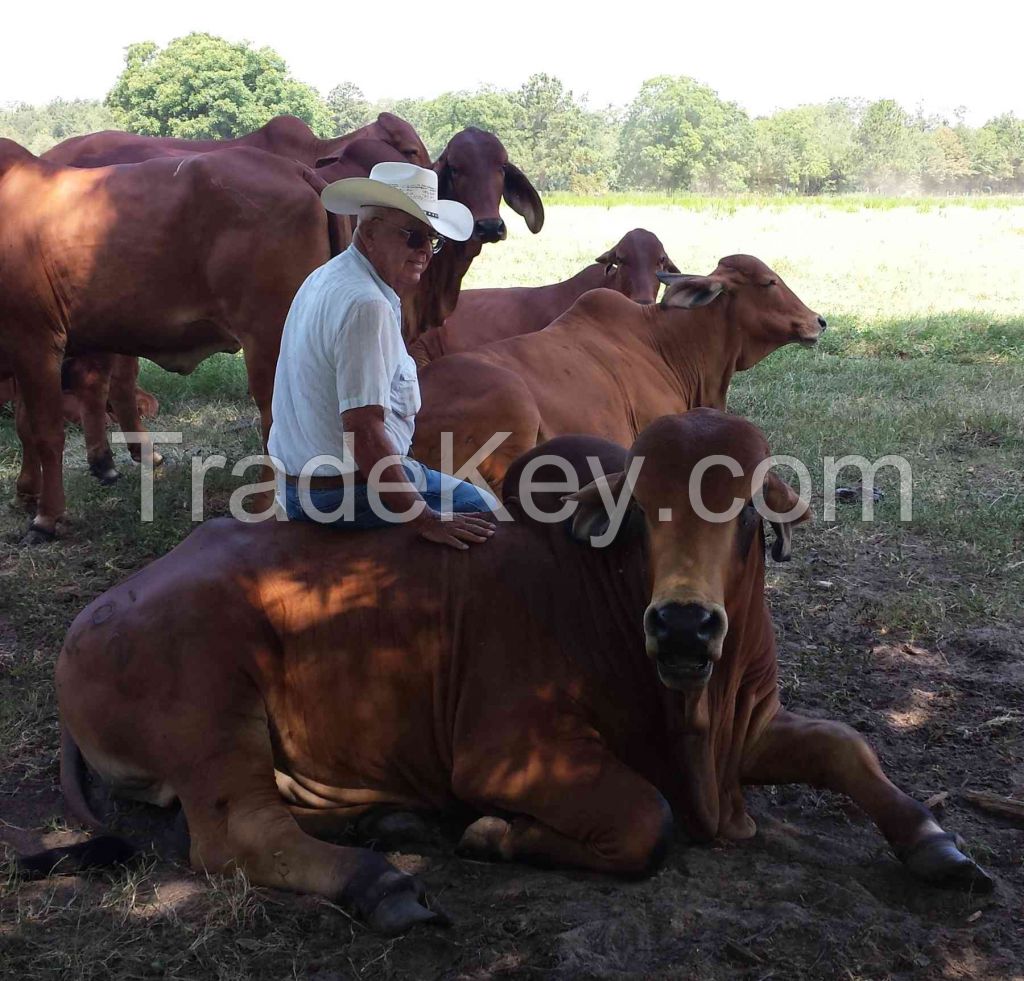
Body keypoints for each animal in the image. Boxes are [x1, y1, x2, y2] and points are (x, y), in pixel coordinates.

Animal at [41, 409, 991, 937]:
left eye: (749, 511)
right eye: (639, 512)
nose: (684, 623)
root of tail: (91, 620)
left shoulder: (748, 725)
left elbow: (844, 745)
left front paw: (935, 839)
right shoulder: (504, 753)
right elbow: (648, 821)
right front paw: (496, 834)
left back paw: (389, 821)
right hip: (215, 711)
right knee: (240, 835)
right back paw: (383, 880)